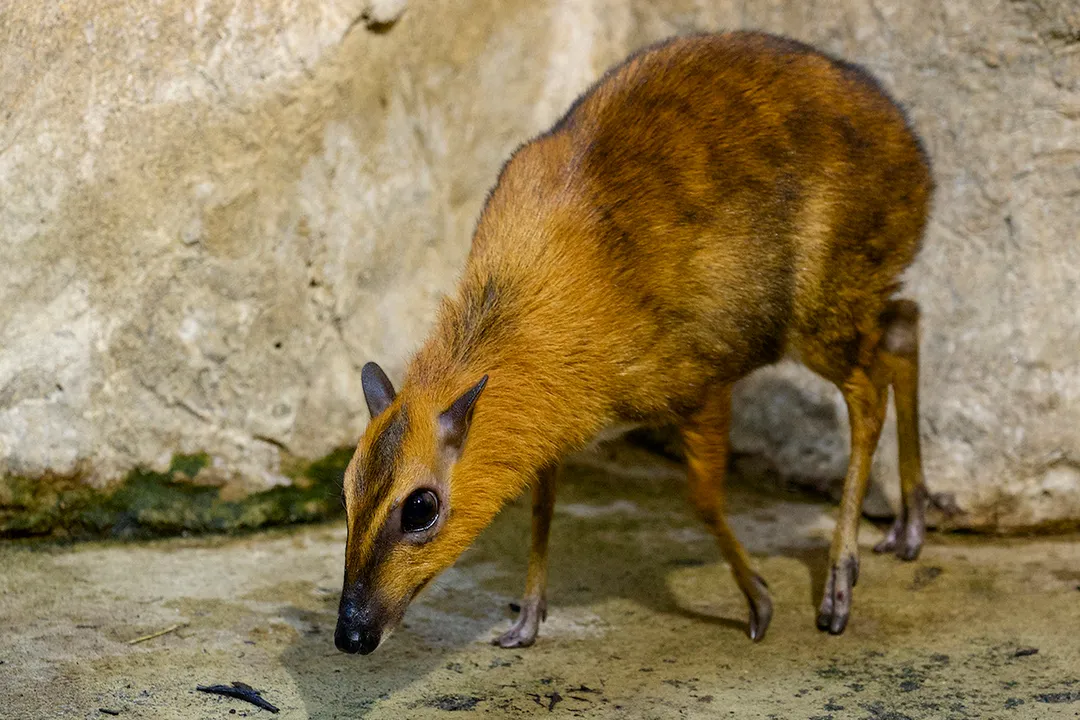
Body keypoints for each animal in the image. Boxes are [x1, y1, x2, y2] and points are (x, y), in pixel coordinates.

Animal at [334, 30, 933, 655]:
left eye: (421, 507)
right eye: (344, 491)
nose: (351, 632)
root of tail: (918, 162)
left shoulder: (702, 381)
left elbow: (702, 500)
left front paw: (760, 603)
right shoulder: (554, 425)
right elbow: (543, 504)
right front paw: (527, 620)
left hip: (822, 305)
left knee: (868, 395)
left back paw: (840, 584)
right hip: (853, 298)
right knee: (904, 324)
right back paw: (909, 529)